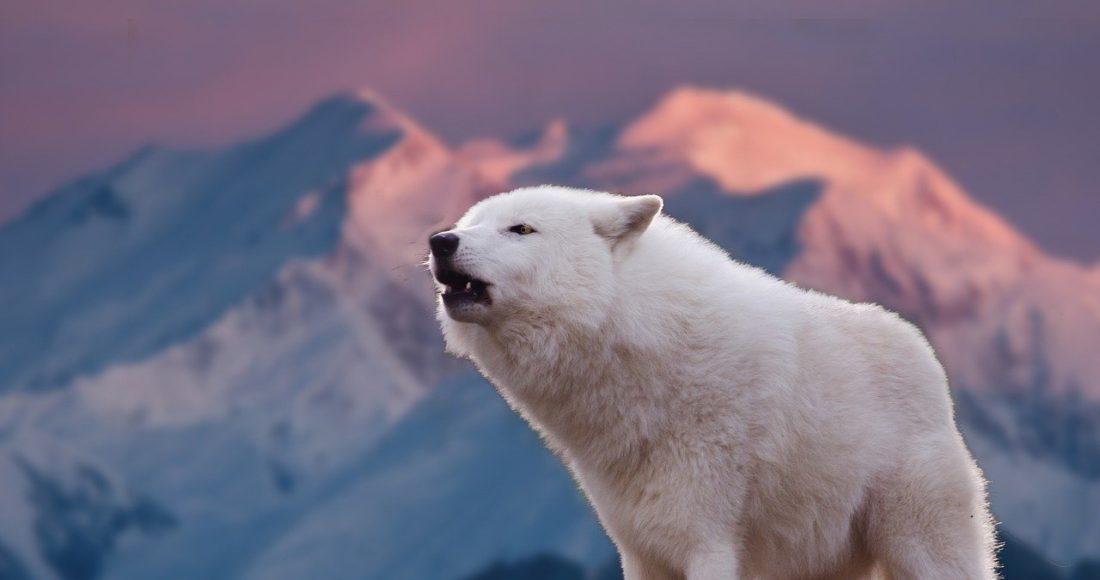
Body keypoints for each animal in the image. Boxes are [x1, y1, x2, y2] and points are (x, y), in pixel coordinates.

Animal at [429, 185, 997, 579]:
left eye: (520, 230)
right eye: (469, 224)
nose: (440, 240)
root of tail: (925, 354)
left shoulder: (707, 541)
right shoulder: (642, 550)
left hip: (923, 544)